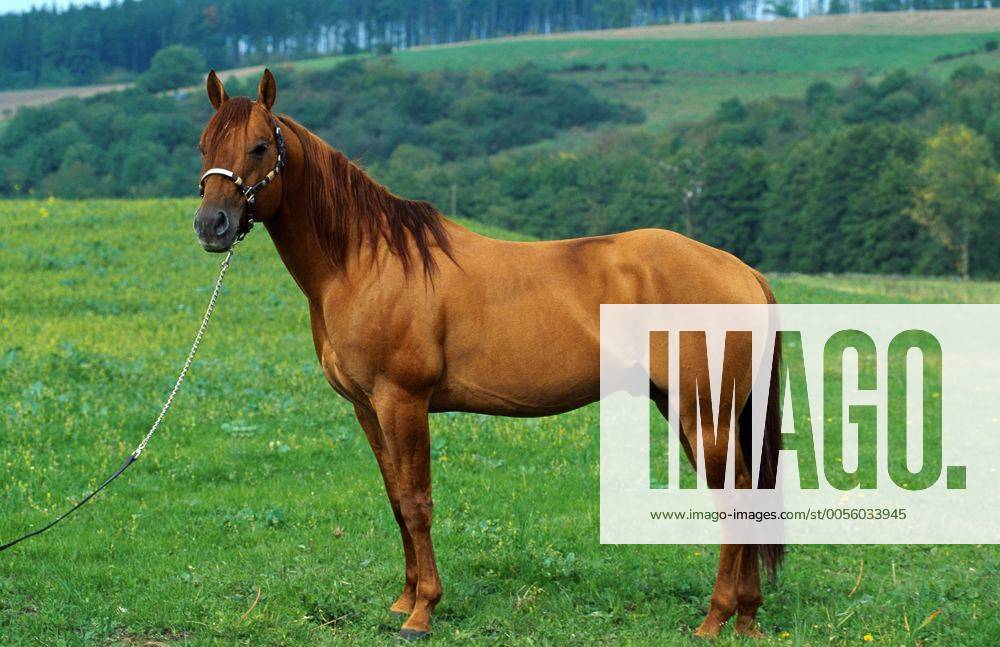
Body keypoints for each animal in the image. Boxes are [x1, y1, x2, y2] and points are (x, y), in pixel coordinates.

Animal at [193, 69, 784, 640]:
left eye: (259, 148)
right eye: (204, 145)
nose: (211, 225)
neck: (367, 261)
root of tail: (743, 271)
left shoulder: (403, 402)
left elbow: (417, 503)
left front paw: (421, 613)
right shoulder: (368, 409)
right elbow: (395, 501)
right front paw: (403, 599)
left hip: (704, 413)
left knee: (734, 499)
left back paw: (713, 619)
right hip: (691, 409)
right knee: (747, 494)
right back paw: (747, 617)